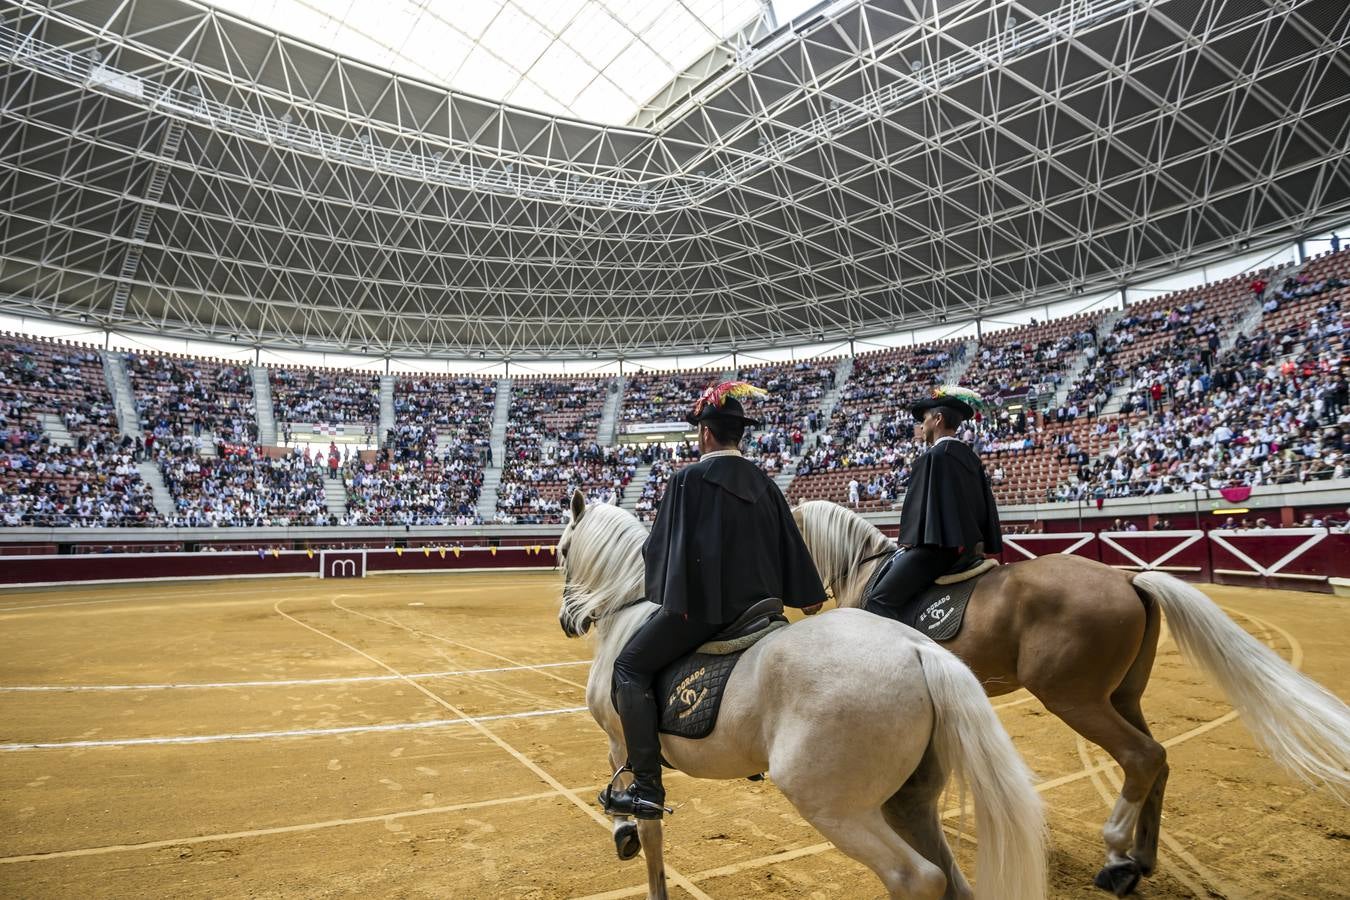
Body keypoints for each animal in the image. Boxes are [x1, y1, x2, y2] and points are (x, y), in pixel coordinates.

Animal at [553, 493, 1047, 900]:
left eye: (561, 551)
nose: (567, 621)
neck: (628, 612)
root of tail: (916, 648)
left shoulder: (624, 740)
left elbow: (643, 812)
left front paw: (626, 832)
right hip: (907, 801)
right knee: (949, 878)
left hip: (831, 804)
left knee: (917, 878)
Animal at [788, 499, 1350, 895]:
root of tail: (1129, 578)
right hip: (1121, 697)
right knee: (1158, 761)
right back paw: (1141, 859)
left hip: (1075, 700)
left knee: (1142, 756)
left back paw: (1117, 857)